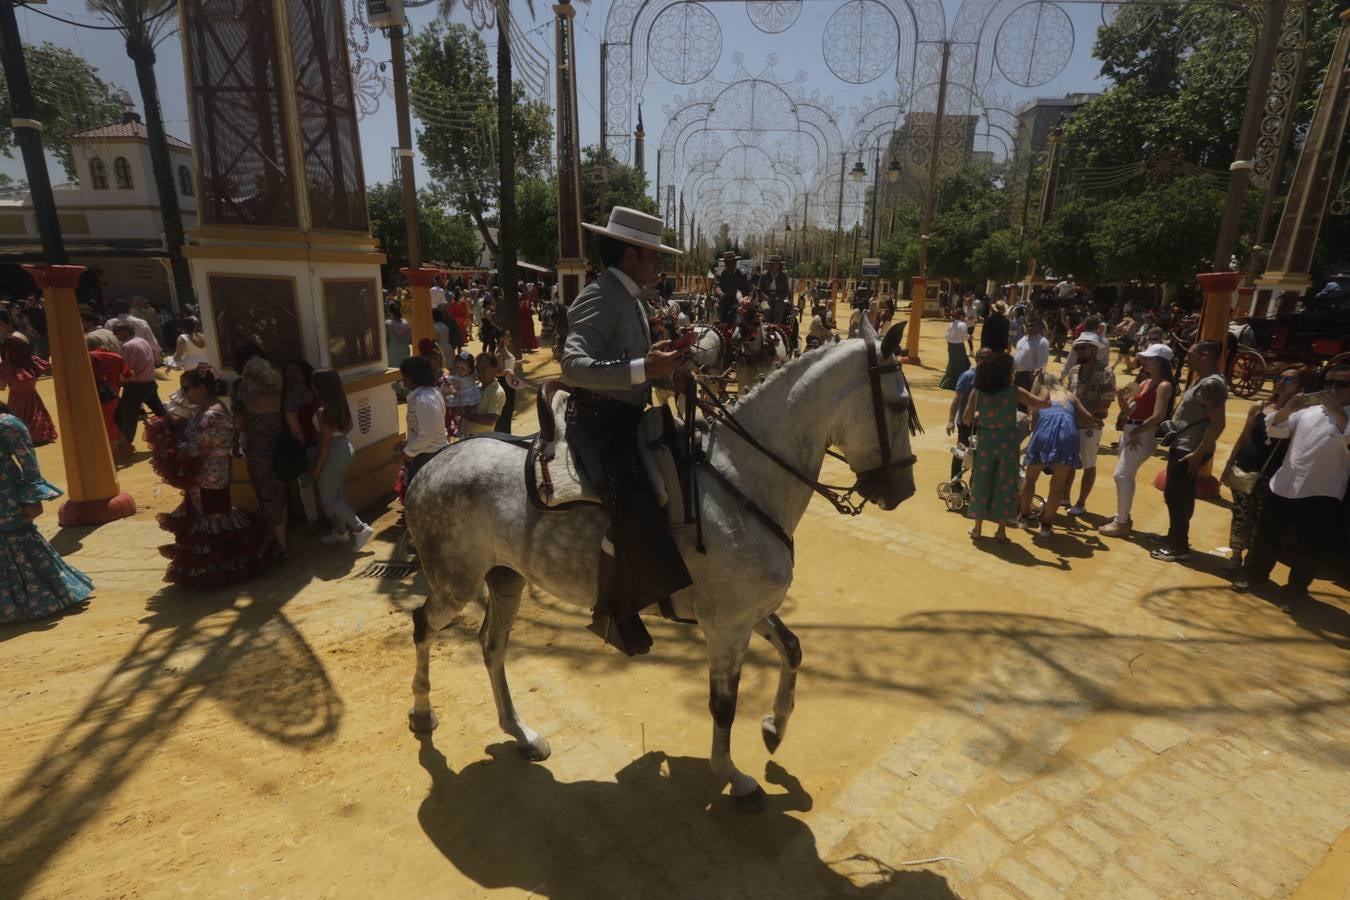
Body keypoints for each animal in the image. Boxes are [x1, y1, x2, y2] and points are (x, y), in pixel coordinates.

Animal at [407, 318, 918, 809]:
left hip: (507, 579)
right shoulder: (726, 623)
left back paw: (521, 733)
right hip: (455, 582)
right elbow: (723, 705)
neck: (742, 477)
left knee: (492, 647)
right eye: (898, 406)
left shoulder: (747, 611)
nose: (903, 490)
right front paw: (734, 777)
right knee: (423, 626)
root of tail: (432, 464)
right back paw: (423, 712)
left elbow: (792, 648)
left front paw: (775, 727)